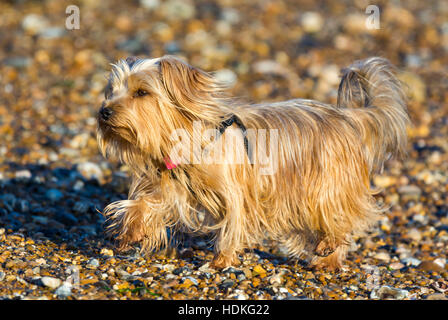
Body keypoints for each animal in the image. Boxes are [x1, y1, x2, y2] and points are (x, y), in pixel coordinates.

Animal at [98, 55, 410, 270]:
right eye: (110, 90)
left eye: (142, 92)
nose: (104, 112)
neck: (186, 138)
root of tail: (348, 117)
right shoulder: (174, 184)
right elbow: (146, 203)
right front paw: (131, 231)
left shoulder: (235, 193)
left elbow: (232, 224)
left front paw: (220, 261)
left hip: (327, 181)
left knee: (337, 216)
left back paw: (328, 254)